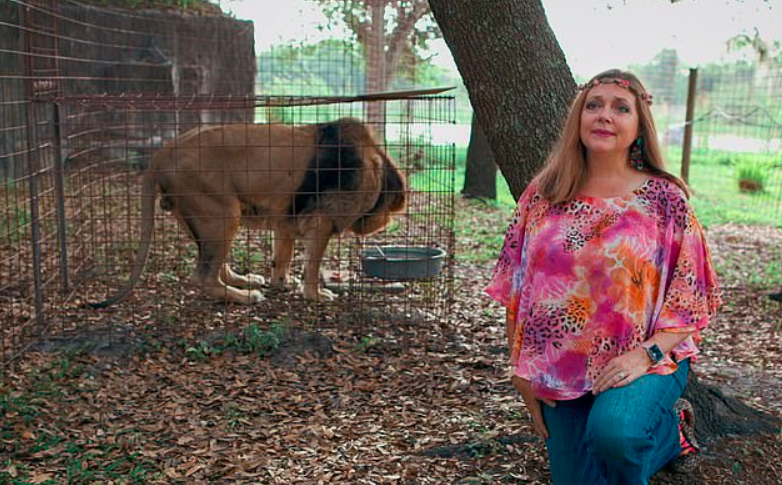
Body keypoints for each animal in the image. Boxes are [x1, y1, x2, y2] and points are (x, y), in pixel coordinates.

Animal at [90, 117, 410, 306]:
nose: (384, 222)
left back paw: (244, 280)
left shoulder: (286, 219)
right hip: (223, 212)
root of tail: (162, 152)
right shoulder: (322, 222)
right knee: (203, 277)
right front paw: (315, 295)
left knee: (215, 265)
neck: (376, 166)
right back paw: (245, 296)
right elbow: (311, 266)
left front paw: (282, 283)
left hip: (201, 217)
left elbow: (282, 257)